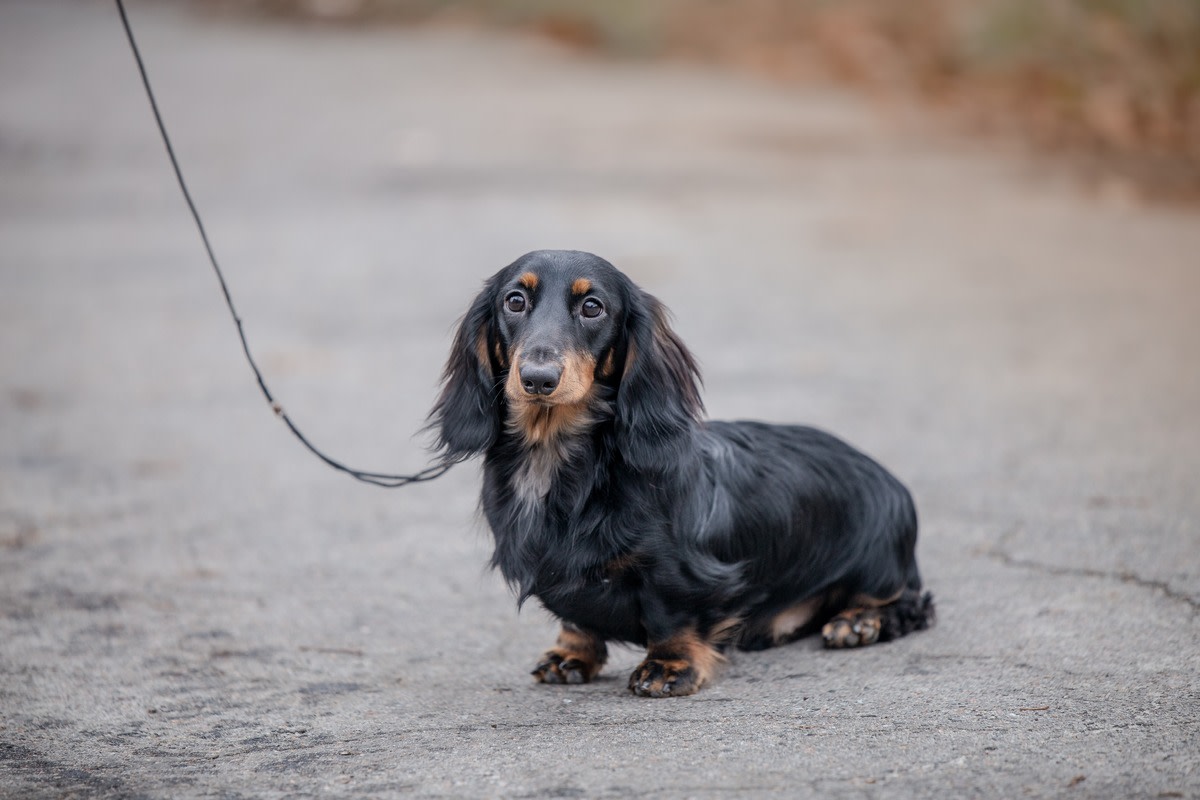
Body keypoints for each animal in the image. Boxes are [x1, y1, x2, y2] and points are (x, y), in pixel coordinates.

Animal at [427, 248, 931, 695]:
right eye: (515, 300)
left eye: (593, 307)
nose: (537, 378)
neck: (555, 456)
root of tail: (886, 476)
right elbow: (577, 619)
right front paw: (571, 654)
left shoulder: (678, 573)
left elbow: (673, 614)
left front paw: (669, 666)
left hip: (879, 563)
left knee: (910, 602)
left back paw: (859, 621)